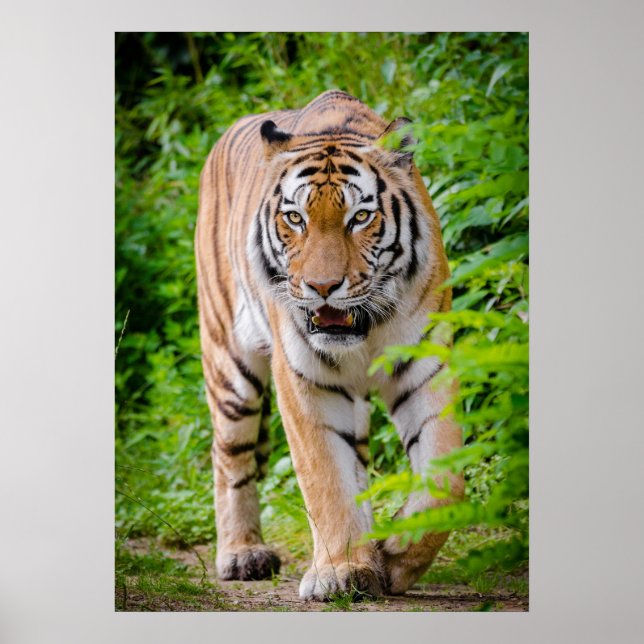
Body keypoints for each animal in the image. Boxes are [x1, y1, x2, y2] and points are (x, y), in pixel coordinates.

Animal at [195, 89, 463, 600]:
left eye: (360, 217)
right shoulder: (306, 379)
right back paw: (242, 554)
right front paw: (340, 571)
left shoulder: (425, 366)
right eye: (294, 218)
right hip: (230, 366)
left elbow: (444, 479)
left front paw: (393, 557)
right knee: (230, 456)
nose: (322, 287)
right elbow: (325, 478)